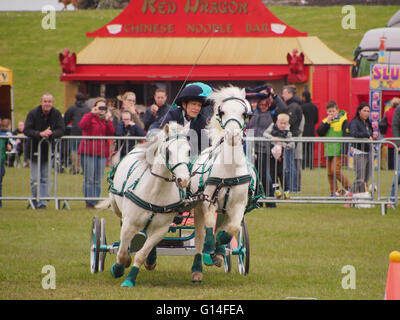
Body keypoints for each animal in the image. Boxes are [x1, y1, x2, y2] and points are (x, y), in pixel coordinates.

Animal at [96, 123, 191, 288]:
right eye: (168, 151)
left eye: (189, 150)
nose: (183, 180)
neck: (155, 192)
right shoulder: (129, 224)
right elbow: (122, 253)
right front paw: (118, 268)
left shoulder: (161, 229)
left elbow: (141, 254)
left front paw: (130, 279)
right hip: (116, 206)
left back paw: (151, 259)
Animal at [188, 85, 255, 282]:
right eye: (222, 112)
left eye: (244, 113)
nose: (232, 135)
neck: (229, 171)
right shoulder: (208, 200)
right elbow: (210, 226)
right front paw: (211, 249)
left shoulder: (239, 205)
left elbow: (231, 229)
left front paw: (220, 247)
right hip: (198, 206)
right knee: (200, 237)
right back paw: (198, 268)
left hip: (225, 210)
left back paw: (219, 252)